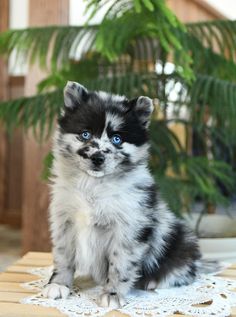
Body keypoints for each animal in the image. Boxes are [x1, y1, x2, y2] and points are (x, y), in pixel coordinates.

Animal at [42, 81, 201, 306]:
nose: (97, 158)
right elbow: (63, 255)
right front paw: (59, 284)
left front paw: (112, 295)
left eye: (117, 139)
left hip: (180, 240)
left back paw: (154, 281)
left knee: (185, 271)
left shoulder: (129, 226)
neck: (93, 185)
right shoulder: (64, 219)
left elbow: (120, 263)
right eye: (85, 134)